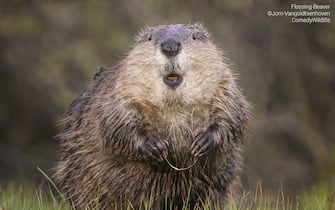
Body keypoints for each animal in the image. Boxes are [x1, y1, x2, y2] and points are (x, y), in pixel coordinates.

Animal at [54, 23, 249, 209]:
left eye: (194, 37)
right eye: (150, 38)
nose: (170, 46)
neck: (174, 108)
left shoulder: (224, 86)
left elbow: (234, 115)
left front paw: (201, 143)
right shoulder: (120, 91)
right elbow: (114, 123)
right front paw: (157, 148)